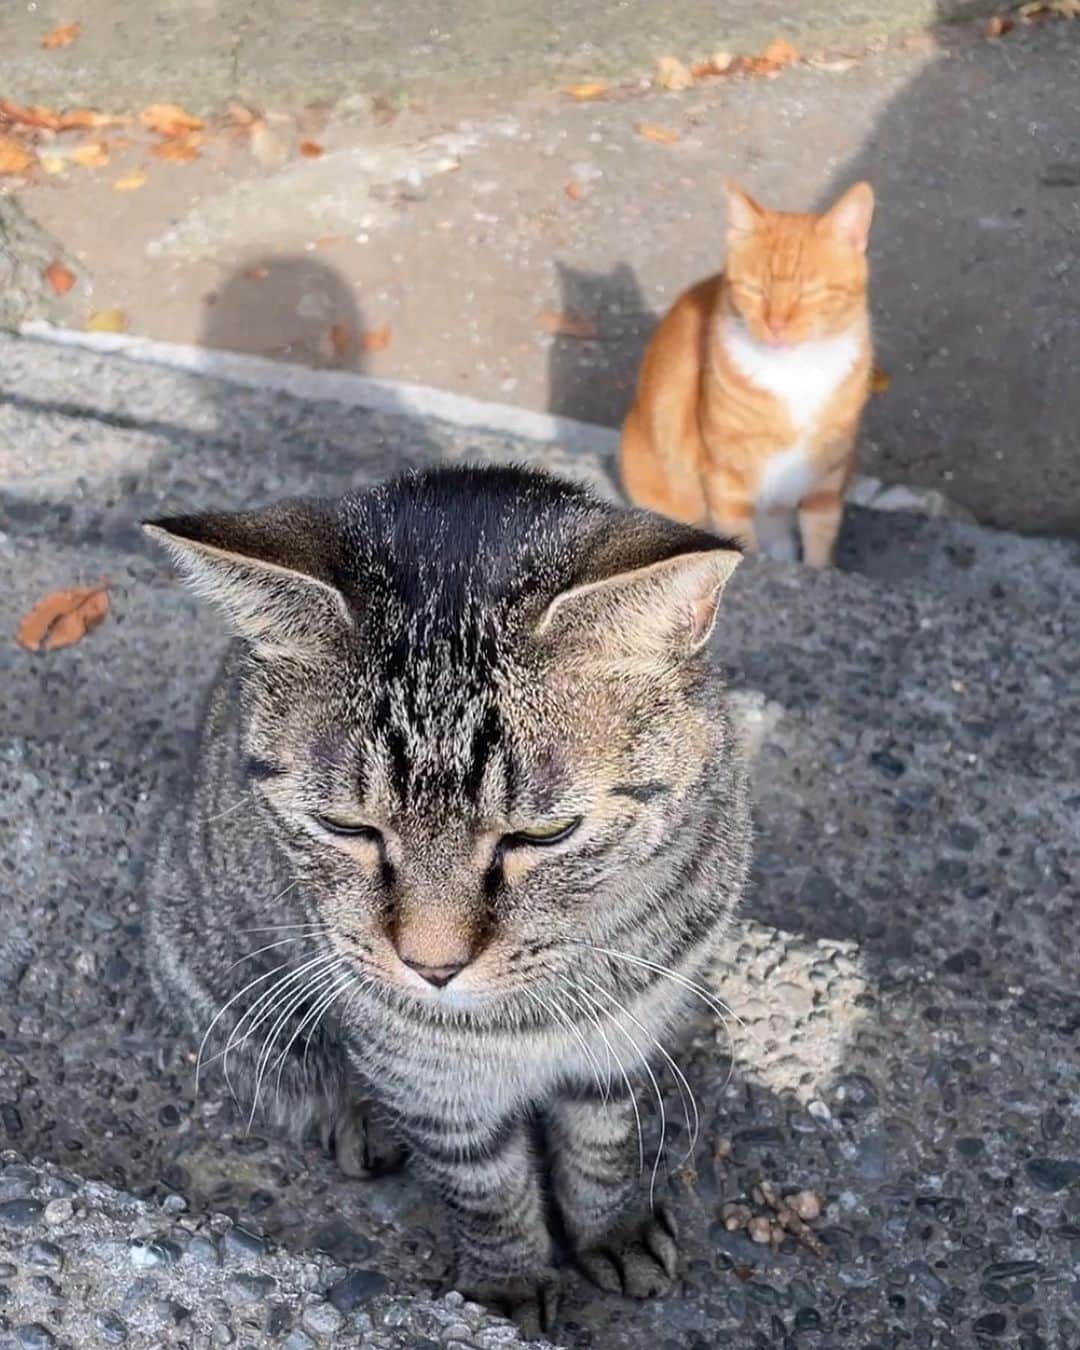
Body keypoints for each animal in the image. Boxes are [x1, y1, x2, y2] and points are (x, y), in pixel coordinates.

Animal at [145, 464, 750, 1328]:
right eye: (344, 825)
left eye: (544, 834)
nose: (432, 967)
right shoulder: (426, 1073)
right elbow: (485, 1183)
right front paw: (506, 1291)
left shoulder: (626, 1028)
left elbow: (604, 1139)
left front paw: (614, 1227)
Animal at [615, 178, 874, 564]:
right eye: (755, 290)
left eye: (810, 293)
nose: (776, 325)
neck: (795, 373)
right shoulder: (726, 478)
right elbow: (740, 538)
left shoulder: (827, 477)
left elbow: (819, 540)